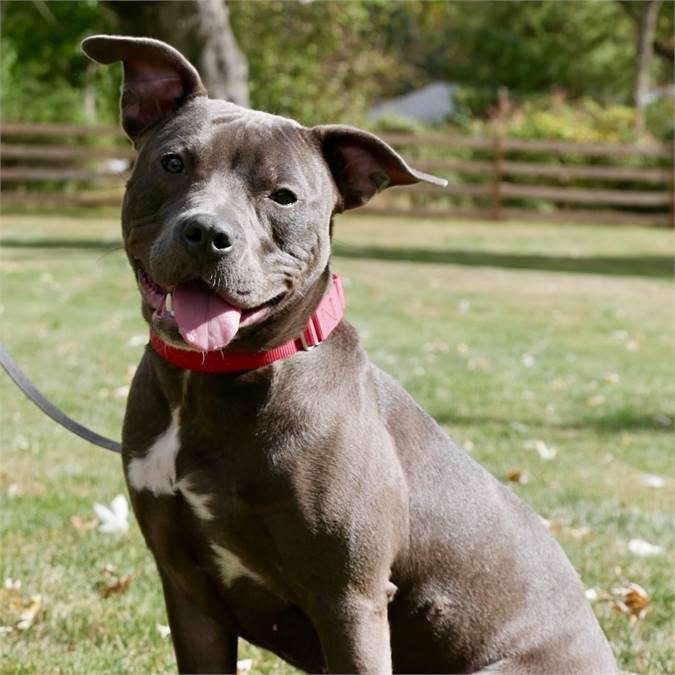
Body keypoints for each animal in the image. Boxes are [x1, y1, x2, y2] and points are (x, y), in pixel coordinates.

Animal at [79, 37, 616, 675]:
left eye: (284, 196)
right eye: (174, 164)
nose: (207, 233)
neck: (212, 384)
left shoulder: (349, 600)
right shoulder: (190, 595)